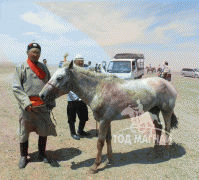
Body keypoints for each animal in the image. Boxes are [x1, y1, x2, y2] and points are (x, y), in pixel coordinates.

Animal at [39, 61, 178, 174]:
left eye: (59, 77)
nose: (42, 95)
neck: (99, 90)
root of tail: (168, 84)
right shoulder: (108, 120)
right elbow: (108, 139)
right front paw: (109, 160)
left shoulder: (103, 121)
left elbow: (100, 142)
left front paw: (95, 166)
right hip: (153, 110)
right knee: (158, 128)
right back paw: (154, 151)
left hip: (166, 111)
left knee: (167, 129)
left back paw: (166, 154)